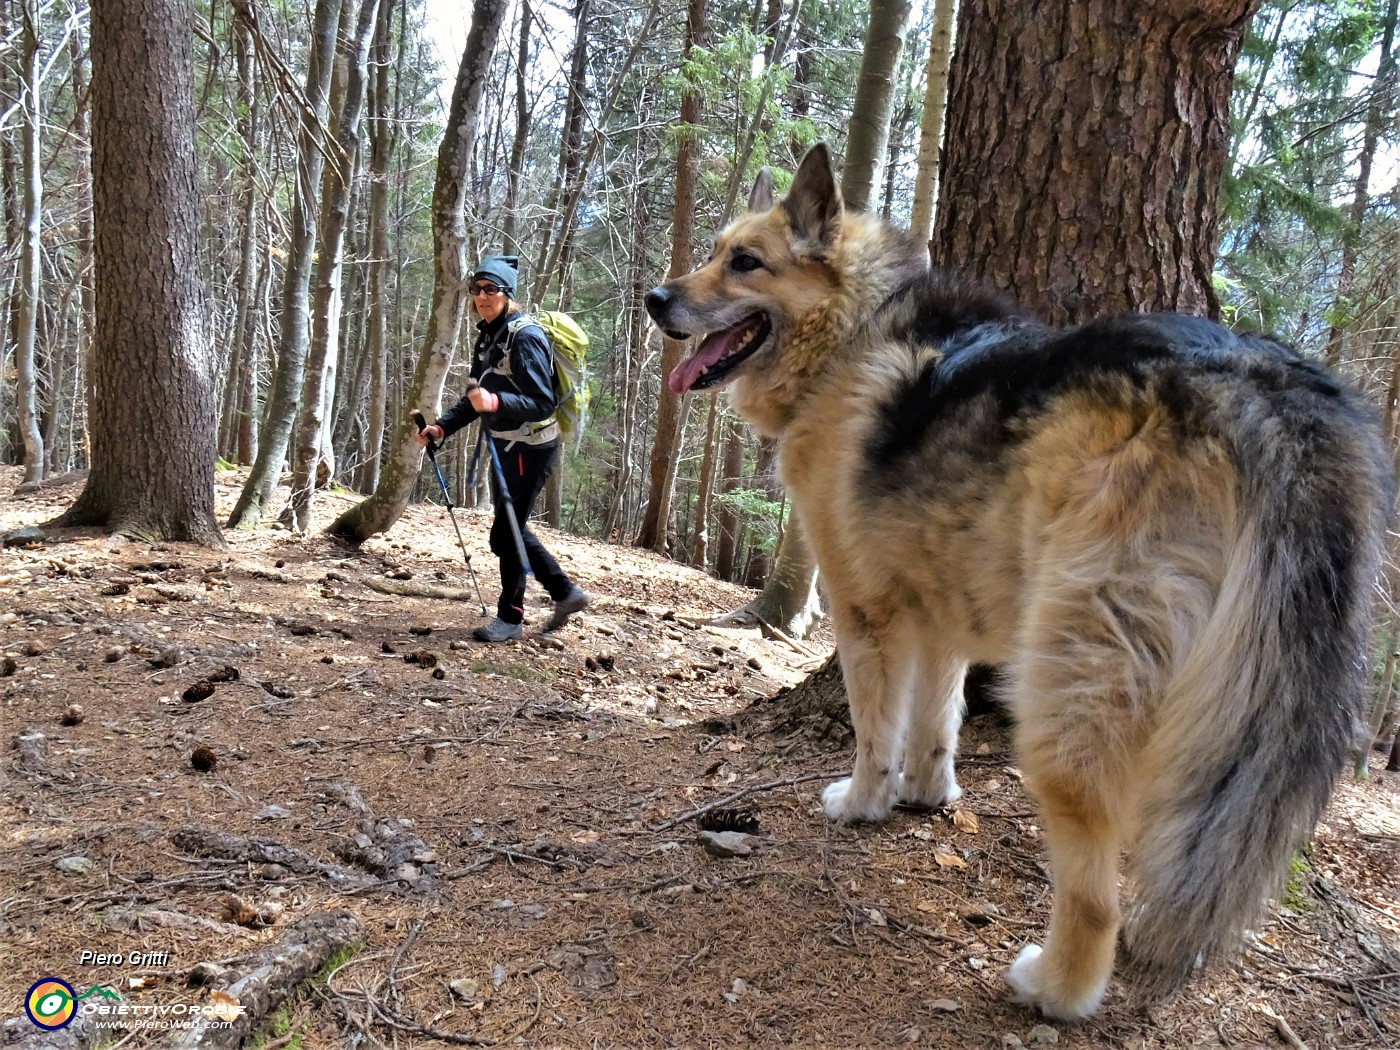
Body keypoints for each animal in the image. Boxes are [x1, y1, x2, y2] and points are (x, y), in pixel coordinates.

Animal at [644, 146, 1388, 1019]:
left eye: (745, 262)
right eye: (714, 250)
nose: (654, 299)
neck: (853, 331)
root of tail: (1254, 380)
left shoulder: (866, 615)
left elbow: (875, 732)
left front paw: (862, 804)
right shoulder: (938, 616)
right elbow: (936, 721)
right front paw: (927, 795)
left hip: (1068, 687)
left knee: (1096, 895)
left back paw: (1054, 987)